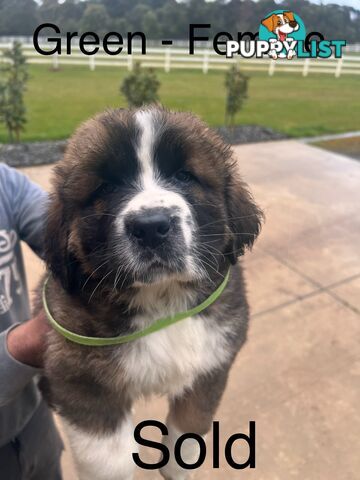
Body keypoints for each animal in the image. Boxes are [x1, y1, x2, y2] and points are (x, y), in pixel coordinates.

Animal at [40, 108, 262, 480]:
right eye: (105, 186)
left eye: (185, 176)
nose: (151, 227)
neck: (161, 300)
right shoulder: (77, 376)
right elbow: (107, 460)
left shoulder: (213, 363)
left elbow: (191, 423)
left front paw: (177, 467)